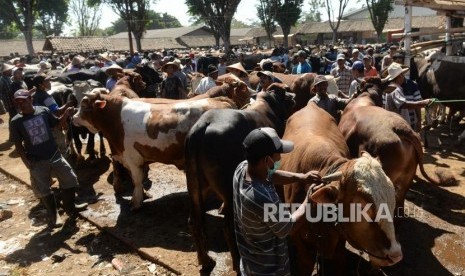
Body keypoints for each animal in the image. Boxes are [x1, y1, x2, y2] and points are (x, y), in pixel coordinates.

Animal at [74, 91, 237, 208]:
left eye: (84, 105)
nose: (73, 117)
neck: (115, 119)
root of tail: (220, 100)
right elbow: (136, 179)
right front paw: (143, 196)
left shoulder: (132, 158)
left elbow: (137, 181)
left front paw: (136, 203)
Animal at [184, 83, 294, 274]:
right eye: (286, 92)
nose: (293, 97)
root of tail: (202, 127)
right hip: (228, 190)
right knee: (229, 227)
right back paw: (236, 262)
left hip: (195, 188)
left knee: (195, 221)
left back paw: (206, 260)